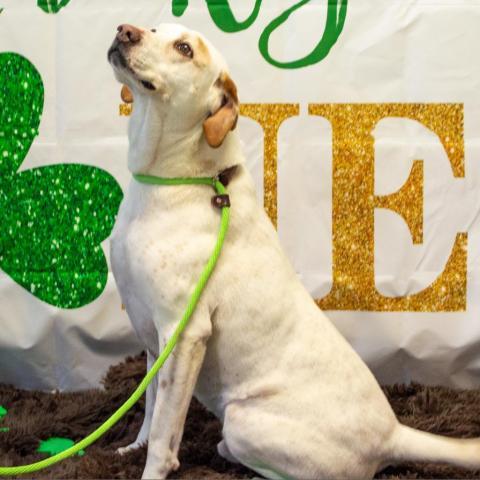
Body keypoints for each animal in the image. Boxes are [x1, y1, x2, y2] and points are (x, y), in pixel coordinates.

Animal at [108, 22, 480, 480]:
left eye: (184, 49)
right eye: (154, 27)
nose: (125, 31)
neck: (172, 180)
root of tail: (394, 433)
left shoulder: (185, 332)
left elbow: (165, 432)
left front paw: (152, 467)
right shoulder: (152, 334)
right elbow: (149, 408)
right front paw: (133, 447)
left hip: (243, 419)